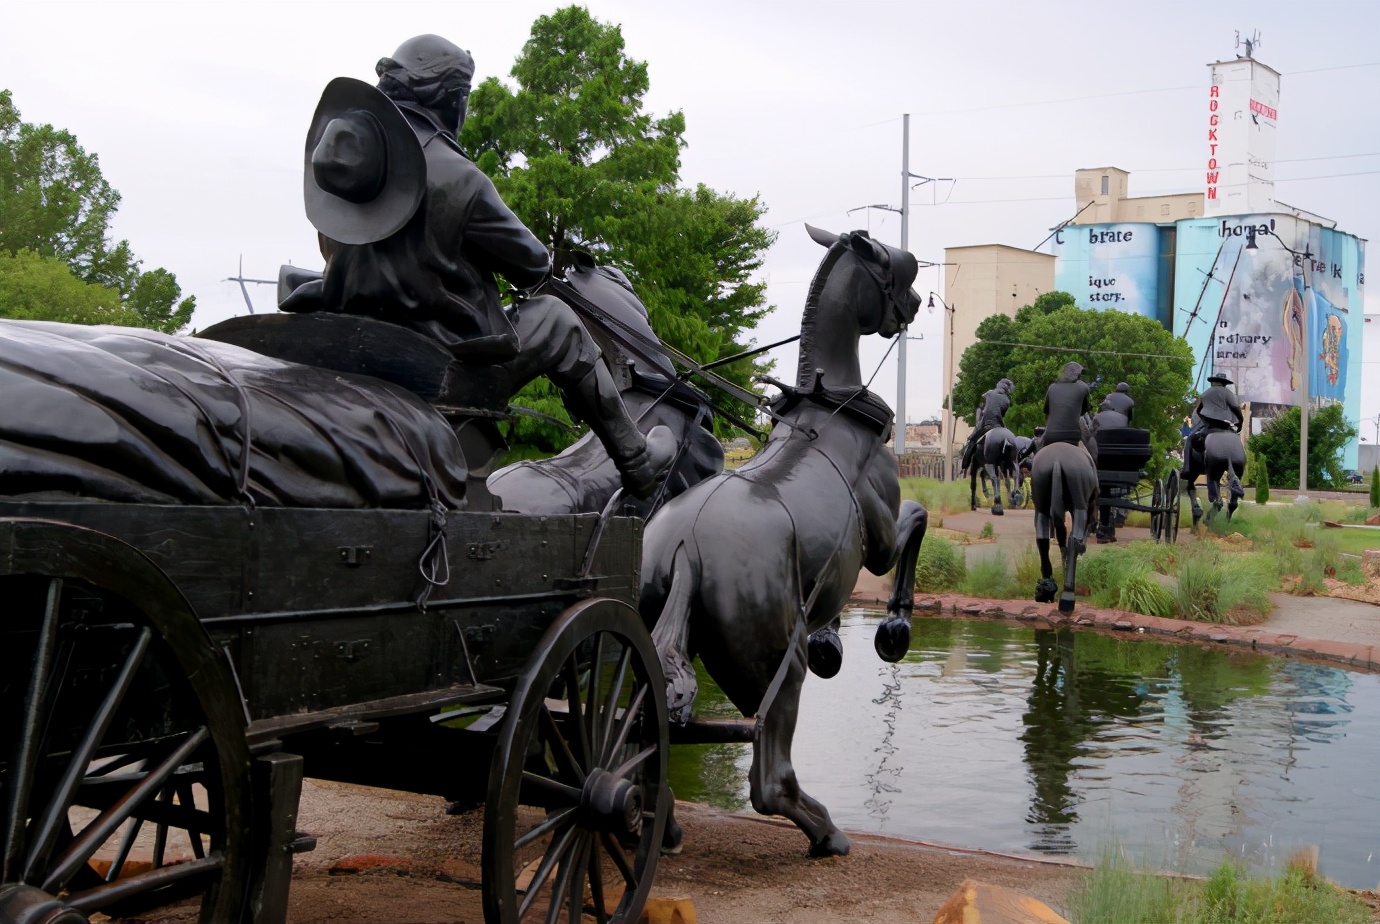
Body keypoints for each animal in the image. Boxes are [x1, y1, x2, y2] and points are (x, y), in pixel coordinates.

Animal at [643, 226, 927, 860]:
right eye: (894, 267)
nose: (917, 303)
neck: (834, 408)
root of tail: (684, 547)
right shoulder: (879, 545)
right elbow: (917, 522)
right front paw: (893, 628)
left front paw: (833, 641)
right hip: (777, 668)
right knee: (770, 781)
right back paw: (828, 834)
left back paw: (659, 825)